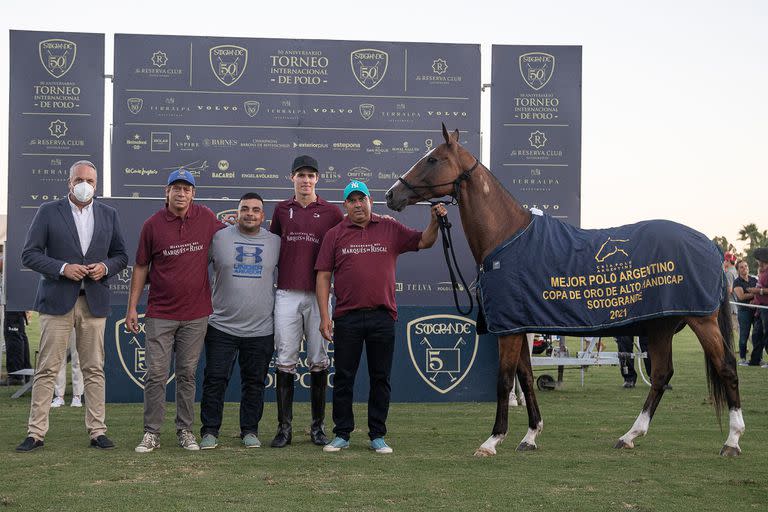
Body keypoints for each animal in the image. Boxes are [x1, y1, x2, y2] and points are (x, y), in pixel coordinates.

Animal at [384, 123, 744, 456]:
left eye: (433, 159)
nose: (391, 194)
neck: (506, 237)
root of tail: (709, 244)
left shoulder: (509, 331)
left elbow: (504, 380)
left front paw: (492, 440)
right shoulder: (520, 326)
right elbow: (526, 378)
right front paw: (530, 436)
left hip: (701, 320)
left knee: (726, 367)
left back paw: (732, 440)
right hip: (660, 326)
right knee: (661, 375)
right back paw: (630, 435)